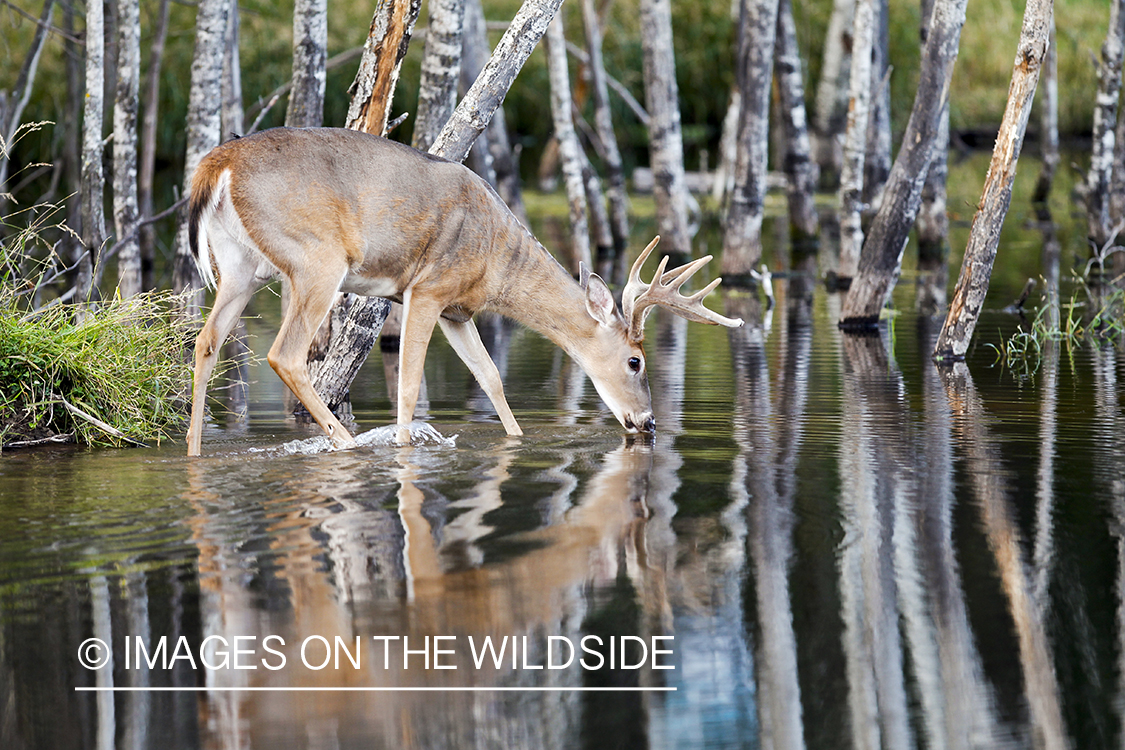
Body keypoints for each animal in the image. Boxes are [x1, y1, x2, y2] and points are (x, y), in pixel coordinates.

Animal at [187, 128, 742, 454]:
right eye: (635, 361)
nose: (648, 423)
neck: (497, 262)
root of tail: (218, 164)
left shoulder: (459, 311)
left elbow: (491, 377)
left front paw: (517, 438)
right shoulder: (428, 289)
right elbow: (410, 385)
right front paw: (406, 448)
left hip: (241, 267)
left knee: (207, 342)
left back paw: (193, 450)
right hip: (316, 260)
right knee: (285, 354)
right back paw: (348, 443)